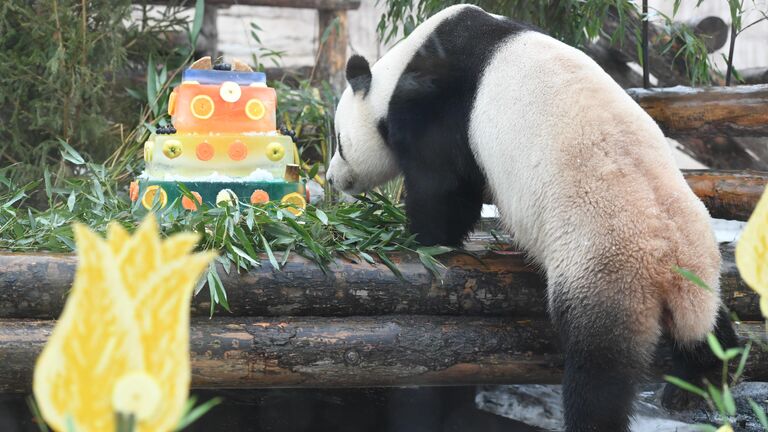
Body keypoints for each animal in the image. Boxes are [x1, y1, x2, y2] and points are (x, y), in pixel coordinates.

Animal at [328, 4, 740, 432]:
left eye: (339, 140)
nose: (331, 178)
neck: (396, 69)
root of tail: (668, 267)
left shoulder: (438, 98)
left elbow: (444, 186)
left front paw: (418, 238)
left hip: (605, 266)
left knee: (599, 369)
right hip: (697, 269)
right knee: (709, 331)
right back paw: (699, 382)